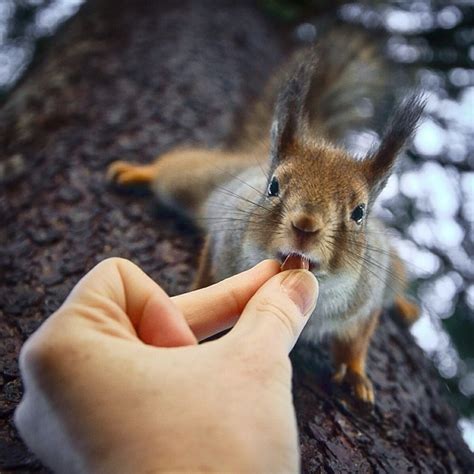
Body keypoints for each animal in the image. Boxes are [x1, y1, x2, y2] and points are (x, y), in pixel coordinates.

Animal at [108, 28, 426, 404]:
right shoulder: (223, 240)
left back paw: (405, 306)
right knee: (173, 170)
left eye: (359, 212)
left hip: (391, 267)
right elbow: (207, 279)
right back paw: (138, 171)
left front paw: (355, 373)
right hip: (197, 179)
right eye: (273, 187)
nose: (305, 225)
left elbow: (356, 340)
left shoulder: (366, 300)